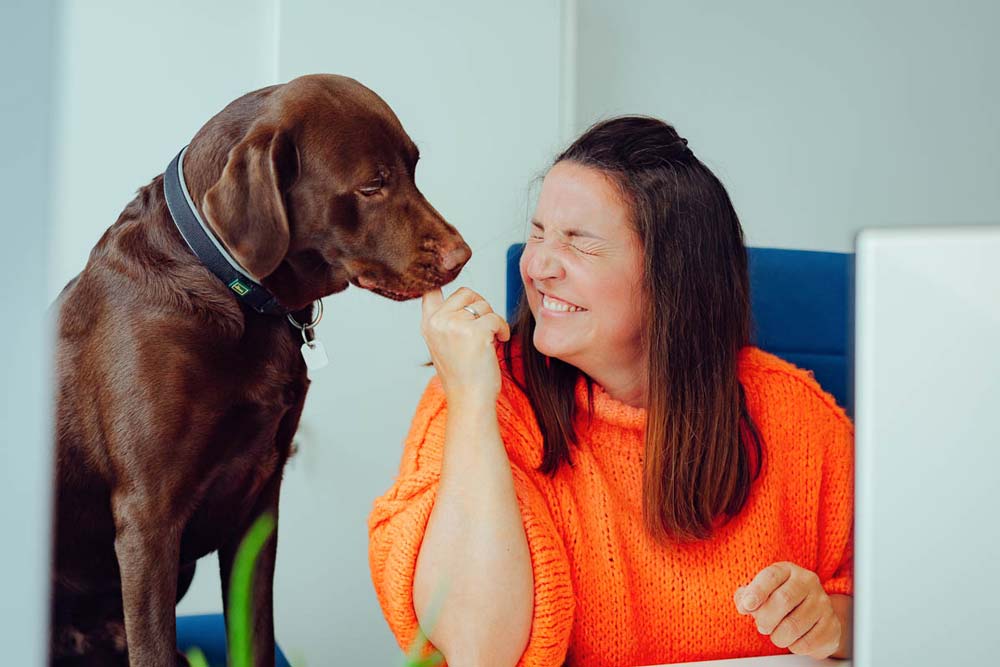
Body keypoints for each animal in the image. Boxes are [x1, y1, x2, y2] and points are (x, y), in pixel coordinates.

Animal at [52, 75, 474, 664]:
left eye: (414, 167)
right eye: (372, 186)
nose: (463, 256)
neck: (224, 285)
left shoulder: (260, 505)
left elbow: (253, 632)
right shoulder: (147, 517)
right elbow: (153, 644)